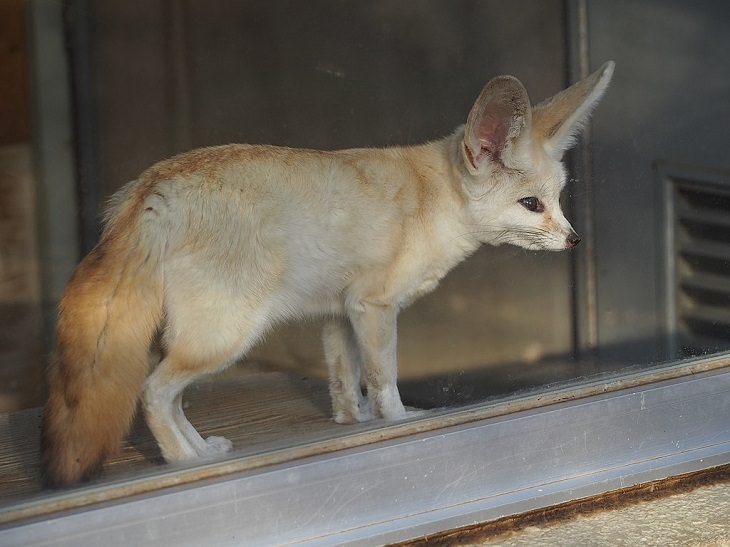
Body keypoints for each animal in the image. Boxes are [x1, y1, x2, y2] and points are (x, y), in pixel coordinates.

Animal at [41, 62, 616, 486]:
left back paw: (202, 449)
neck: (432, 198)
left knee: (171, 396)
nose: (575, 240)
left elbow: (346, 384)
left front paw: (350, 426)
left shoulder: (340, 314)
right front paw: (399, 424)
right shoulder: (374, 307)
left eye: (559, 200)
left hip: (196, 340)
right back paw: (186, 464)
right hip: (223, 338)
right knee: (153, 394)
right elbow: (384, 381)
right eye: (530, 204)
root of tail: (154, 185)